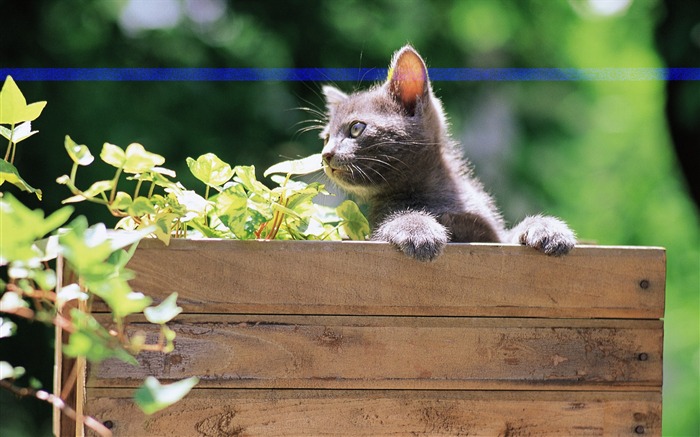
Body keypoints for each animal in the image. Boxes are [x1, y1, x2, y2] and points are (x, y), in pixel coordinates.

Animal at [318, 45, 576, 260]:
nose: (326, 154)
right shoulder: (373, 231)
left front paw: (547, 228)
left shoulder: (493, 237)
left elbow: (509, 236)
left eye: (356, 128)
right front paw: (417, 228)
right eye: (327, 138)